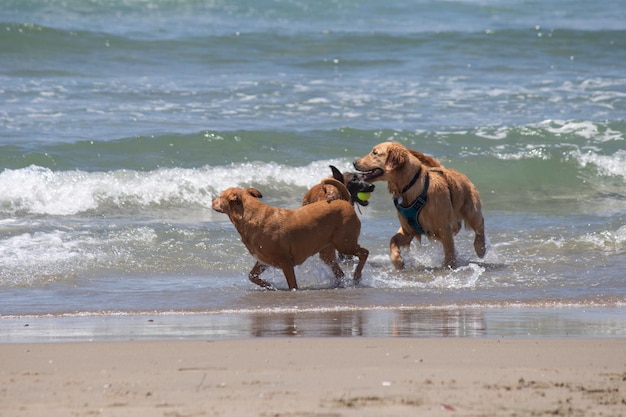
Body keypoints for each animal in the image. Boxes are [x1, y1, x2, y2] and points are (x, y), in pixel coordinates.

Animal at [211, 188, 366, 290]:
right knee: (338, 270)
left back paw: (357, 275)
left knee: (364, 253)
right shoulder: (263, 261)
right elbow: (252, 276)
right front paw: (268, 285)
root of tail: (345, 202)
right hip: (327, 251)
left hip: (344, 243)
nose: (212, 199)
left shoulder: (285, 261)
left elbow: (292, 284)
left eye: (220, 196)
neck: (249, 215)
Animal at [354, 141, 486, 268]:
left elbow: (449, 252)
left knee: (480, 225)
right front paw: (397, 260)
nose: (354, 162)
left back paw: (480, 248)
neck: (411, 186)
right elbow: (393, 239)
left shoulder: (444, 229)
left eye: (375, 153)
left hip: (471, 211)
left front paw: (450, 266)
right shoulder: (408, 230)